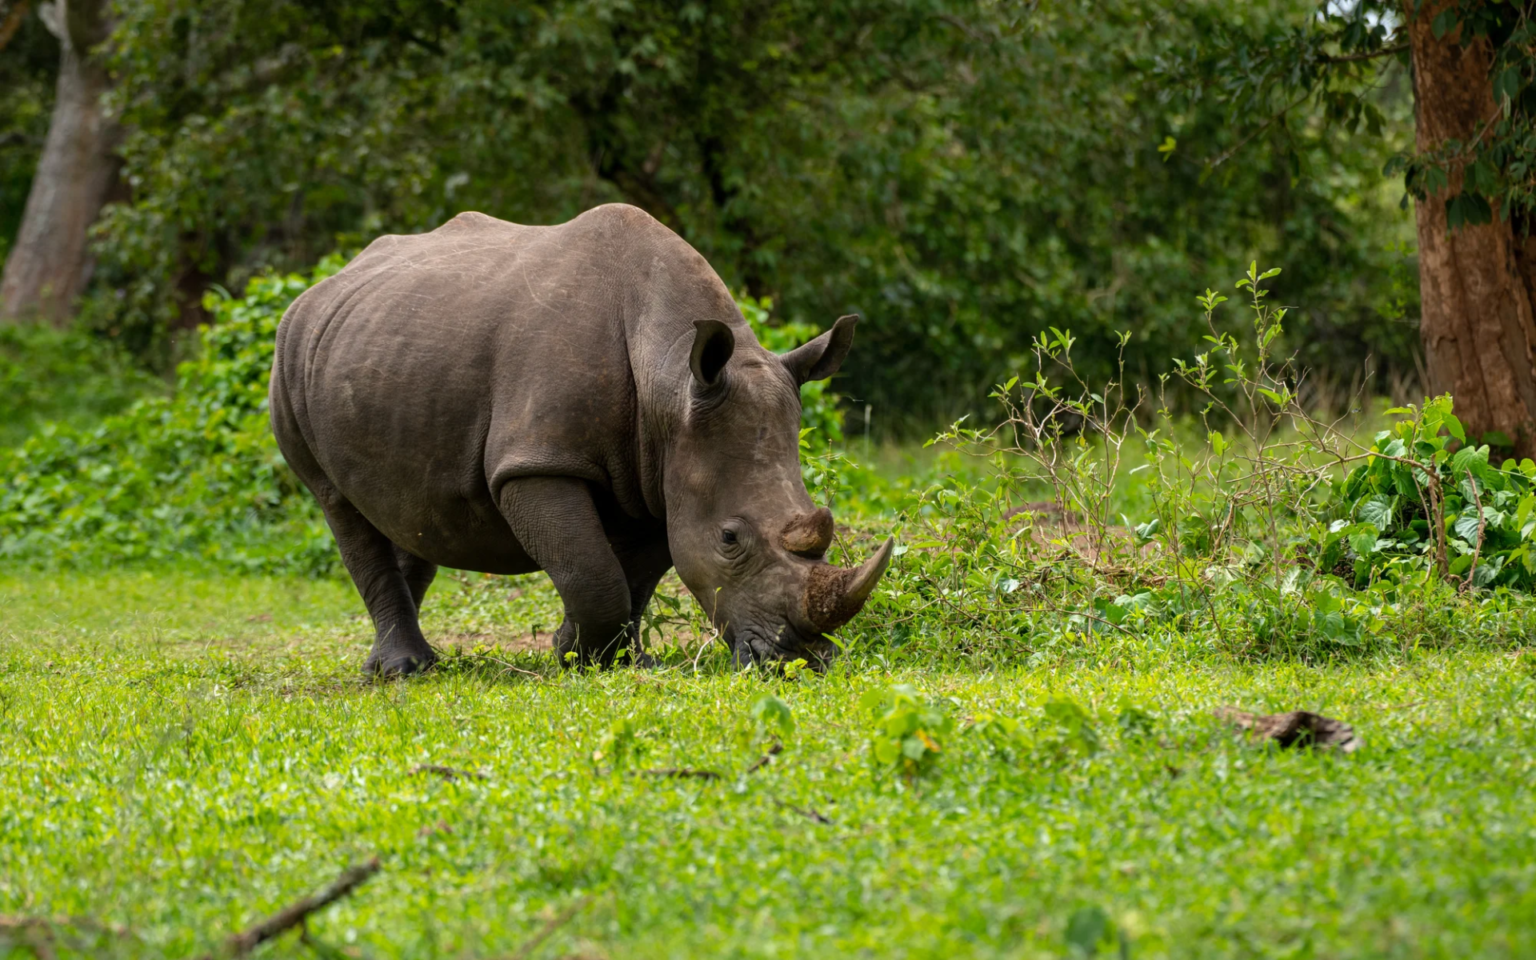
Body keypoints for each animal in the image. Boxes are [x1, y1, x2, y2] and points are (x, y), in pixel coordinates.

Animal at [269, 204, 892, 675]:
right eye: (730, 538)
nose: (800, 661)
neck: (670, 380)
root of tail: (317, 289)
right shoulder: (538, 460)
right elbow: (592, 572)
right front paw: (583, 656)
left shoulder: (661, 470)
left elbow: (633, 577)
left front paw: (601, 656)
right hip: (287, 361)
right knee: (338, 503)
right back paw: (402, 671)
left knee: (410, 511)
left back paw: (409, 659)